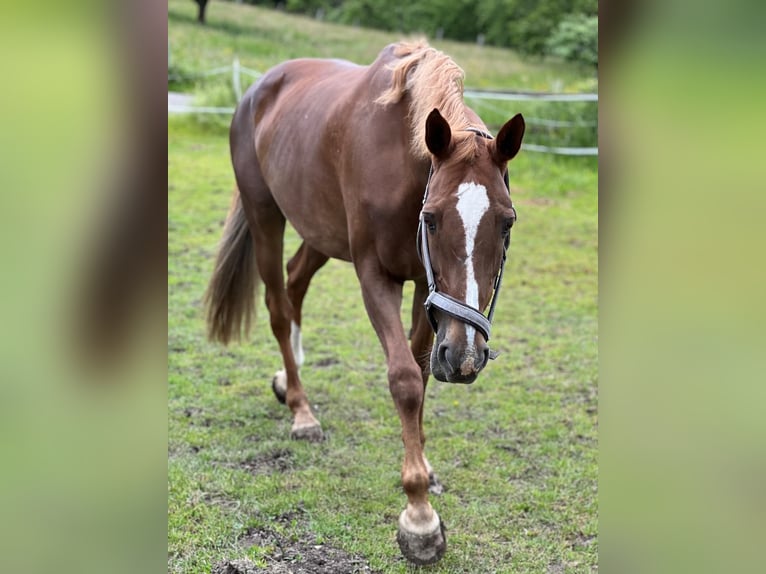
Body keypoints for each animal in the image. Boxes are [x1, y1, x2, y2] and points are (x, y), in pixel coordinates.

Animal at [207, 40, 524, 568]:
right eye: (432, 219)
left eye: (506, 222)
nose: (465, 356)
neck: (402, 166)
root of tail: (258, 87)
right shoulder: (376, 276)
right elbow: (404, 380)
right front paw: (419, 518)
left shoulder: (426, 288)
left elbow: (420, 373)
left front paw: (424, 465)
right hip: (265, 215)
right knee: (278, 306)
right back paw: (301, 410)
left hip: (320, 231)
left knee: (295, 284)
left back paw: (288, 380)